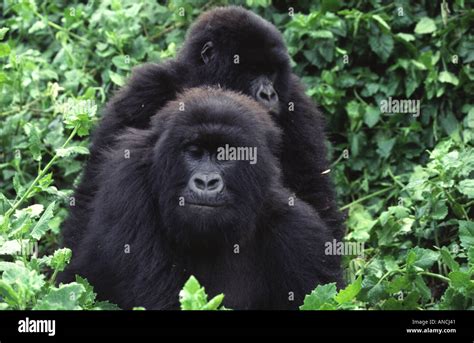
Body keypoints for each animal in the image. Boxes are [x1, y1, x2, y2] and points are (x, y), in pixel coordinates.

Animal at [62, 6, 344, 250]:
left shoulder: (297, 102)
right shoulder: (144, 89)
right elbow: (95, 185)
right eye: (253, 70)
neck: (204, 81)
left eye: (272, 71)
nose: (269, 94)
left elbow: (315, 194)